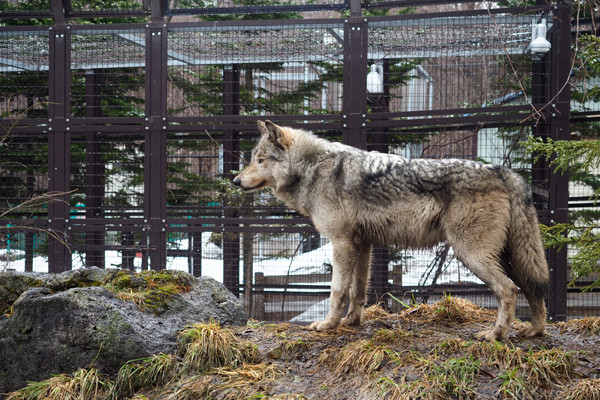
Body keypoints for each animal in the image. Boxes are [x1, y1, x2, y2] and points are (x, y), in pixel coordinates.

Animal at [233, 119, 548, 340]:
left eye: (260, 160)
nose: (235, 181)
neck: (313, 168)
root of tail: (503, 171)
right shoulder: (363, 245)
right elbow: (358, 290)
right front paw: (351, 322)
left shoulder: (341, 243)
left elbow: (337, 290)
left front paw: (328, 325)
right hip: (508, 256)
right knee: (531, 288)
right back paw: (535, 331)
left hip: (472, 254)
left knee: (508, 289)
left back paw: (495, 335)